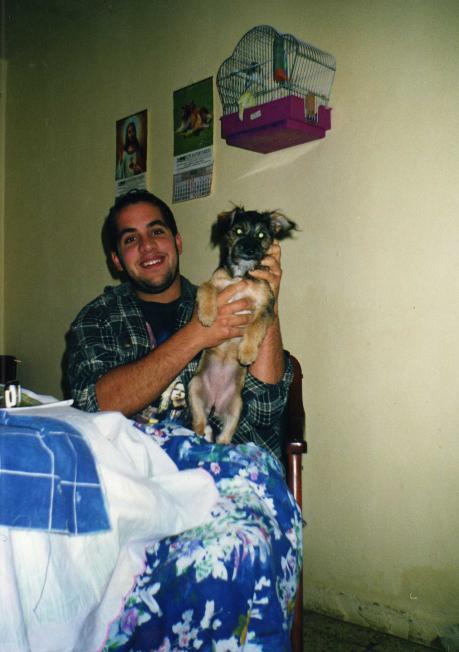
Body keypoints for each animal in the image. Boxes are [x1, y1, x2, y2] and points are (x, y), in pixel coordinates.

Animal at [188, 206, 297, 444]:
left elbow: (255, 328)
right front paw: (207, 315)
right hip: (195, 387)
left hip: (236, 407)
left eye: (261, 235)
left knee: (225, 438)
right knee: (199, 424)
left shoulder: (265, 306)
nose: (249, 248)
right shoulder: (214, 282)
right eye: (238, 230)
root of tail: (214, 402)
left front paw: (247, 353)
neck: (241, 275)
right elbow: (206, 289)